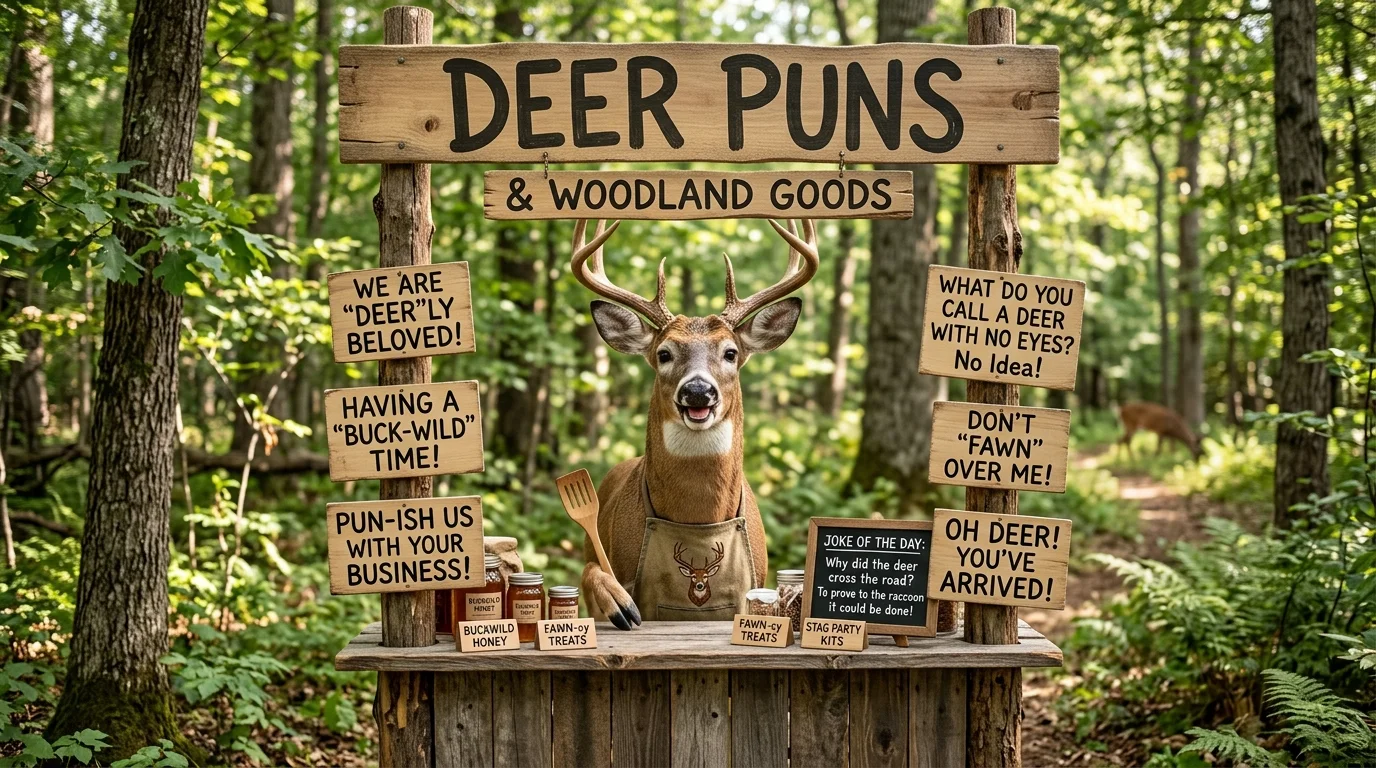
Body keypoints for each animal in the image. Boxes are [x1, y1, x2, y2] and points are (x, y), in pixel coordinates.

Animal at [571, 218, 819, 629]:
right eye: (664, 353)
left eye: (731, 352)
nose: (698, 391)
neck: (698, 519)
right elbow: (592, 572)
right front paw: (620, 603)